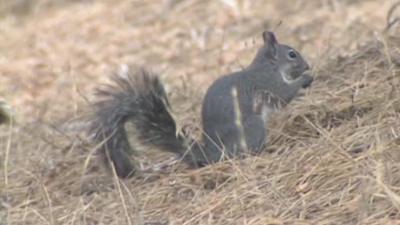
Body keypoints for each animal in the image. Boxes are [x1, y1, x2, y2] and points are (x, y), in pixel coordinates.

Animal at [89, 30, 314, 178]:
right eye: (292, 54)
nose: (307, 66)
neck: (269, 66)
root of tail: (211, 152)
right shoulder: (269, 82)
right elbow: (283, 95)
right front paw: (305, 79)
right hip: (253, 126)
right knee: (245, 152)